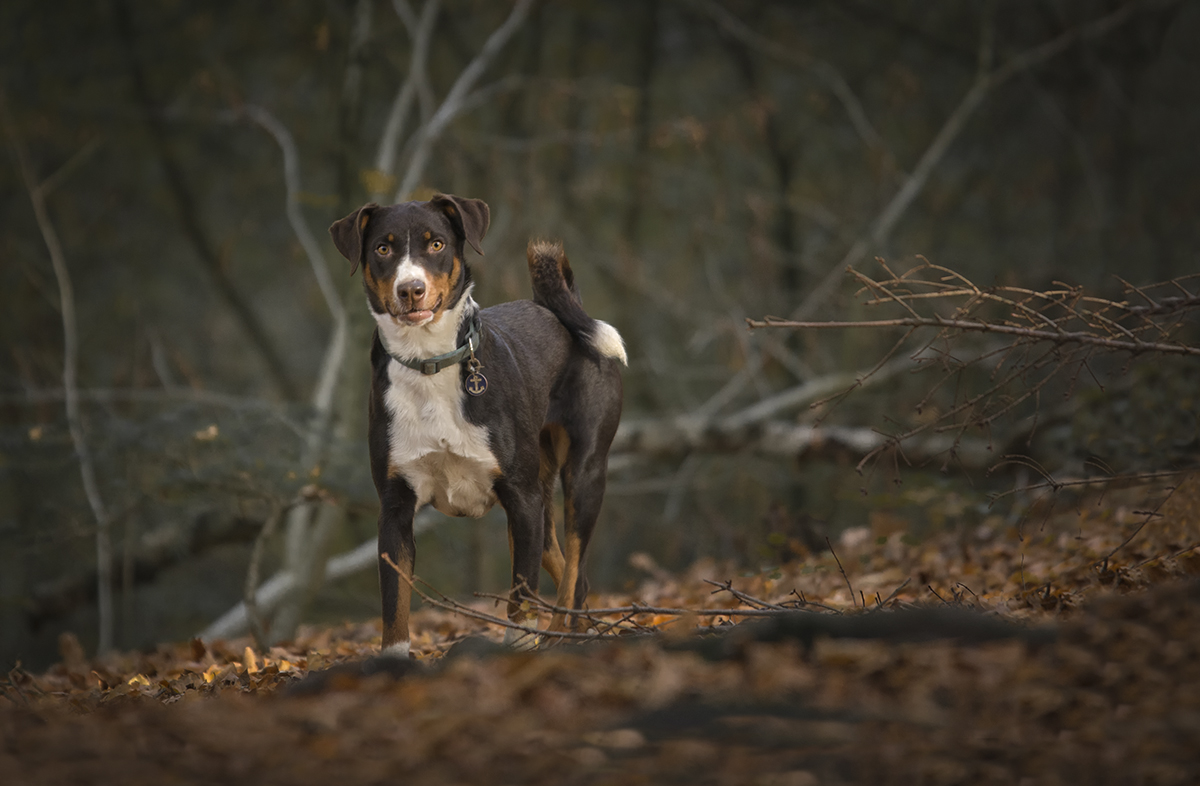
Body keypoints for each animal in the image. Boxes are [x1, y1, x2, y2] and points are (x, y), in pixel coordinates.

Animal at [331, 196, 628, 657]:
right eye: (383, 248)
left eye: (436, 243)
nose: (410, 289)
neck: (430, 365)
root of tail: (557, 307)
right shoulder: (395, 508)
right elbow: (395, 605)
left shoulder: (521, 499)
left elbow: (521, 597)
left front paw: (520, 649)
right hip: (540, 503)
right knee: (574, 577)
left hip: (582, 474)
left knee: (573, 571)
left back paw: (562, 637)